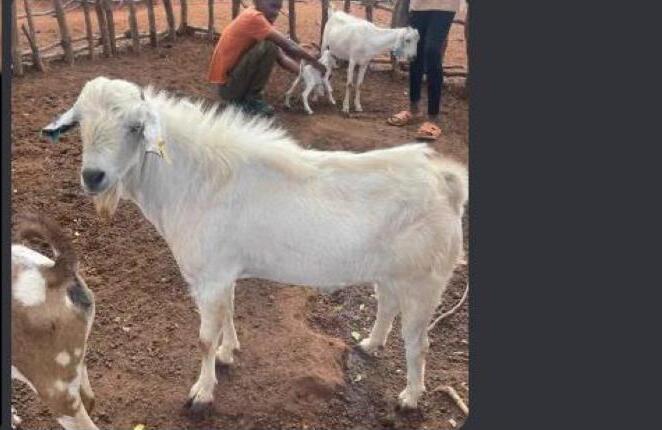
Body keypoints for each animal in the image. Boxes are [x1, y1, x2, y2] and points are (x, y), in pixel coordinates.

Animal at [43, 76, 468, 411]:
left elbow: (203, 337)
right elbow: (228, 314)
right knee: (387, 305)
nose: (93, 177)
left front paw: (201, 392)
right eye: (80, 124)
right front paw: (228, 353)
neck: (193, 180)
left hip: (426, 280)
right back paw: (370, 344)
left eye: (134, 127)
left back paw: (410, 397)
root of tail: (445, 183)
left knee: (419, 342)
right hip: (391, 271)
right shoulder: (222, 272)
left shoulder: (209, 275)